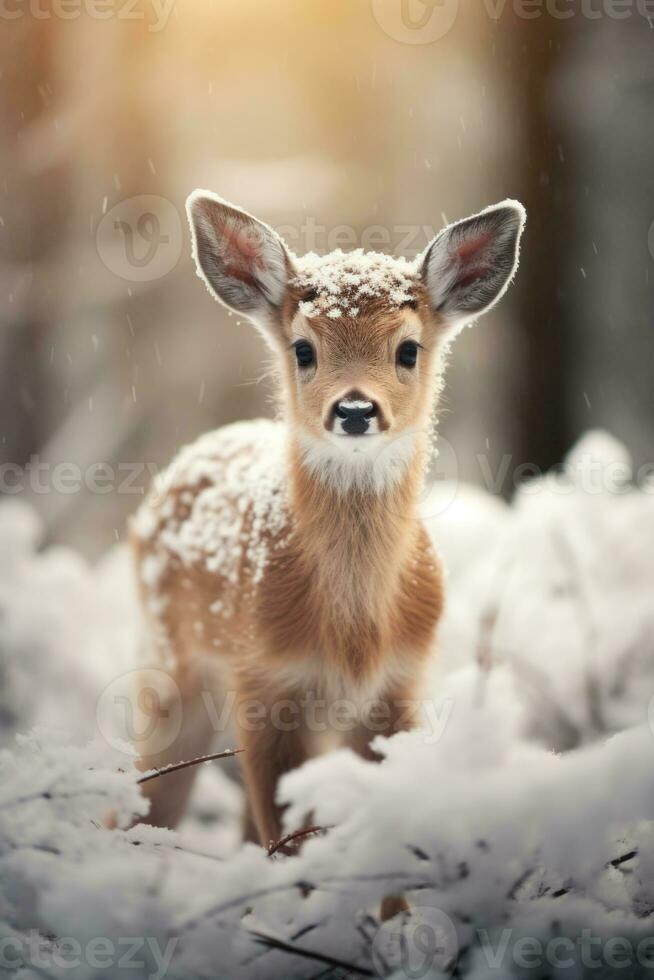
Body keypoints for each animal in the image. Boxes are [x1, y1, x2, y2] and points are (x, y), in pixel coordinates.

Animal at [131, 193, 524, 848]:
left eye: (408, 349)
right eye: (304, 349)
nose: (356, 409)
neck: (353, 636)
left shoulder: (400, 687)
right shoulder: (264, 683)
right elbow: (287, 838)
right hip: (171, 665)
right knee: (146, 800)